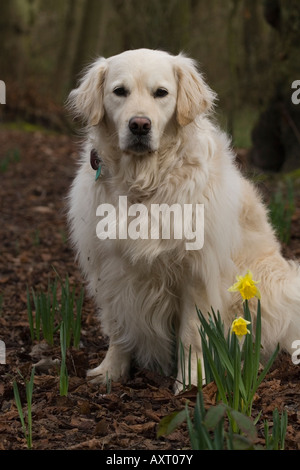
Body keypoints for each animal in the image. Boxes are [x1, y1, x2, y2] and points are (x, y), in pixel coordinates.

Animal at [67, 49, 300, 392]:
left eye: (161, 93)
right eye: (119, 91)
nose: (139, 125)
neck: (144, 181)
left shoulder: (197, 272)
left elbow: (193, 334)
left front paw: (190, 383)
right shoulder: (111, 268)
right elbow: (119, 327)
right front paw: (111, 371)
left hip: (267, 286)